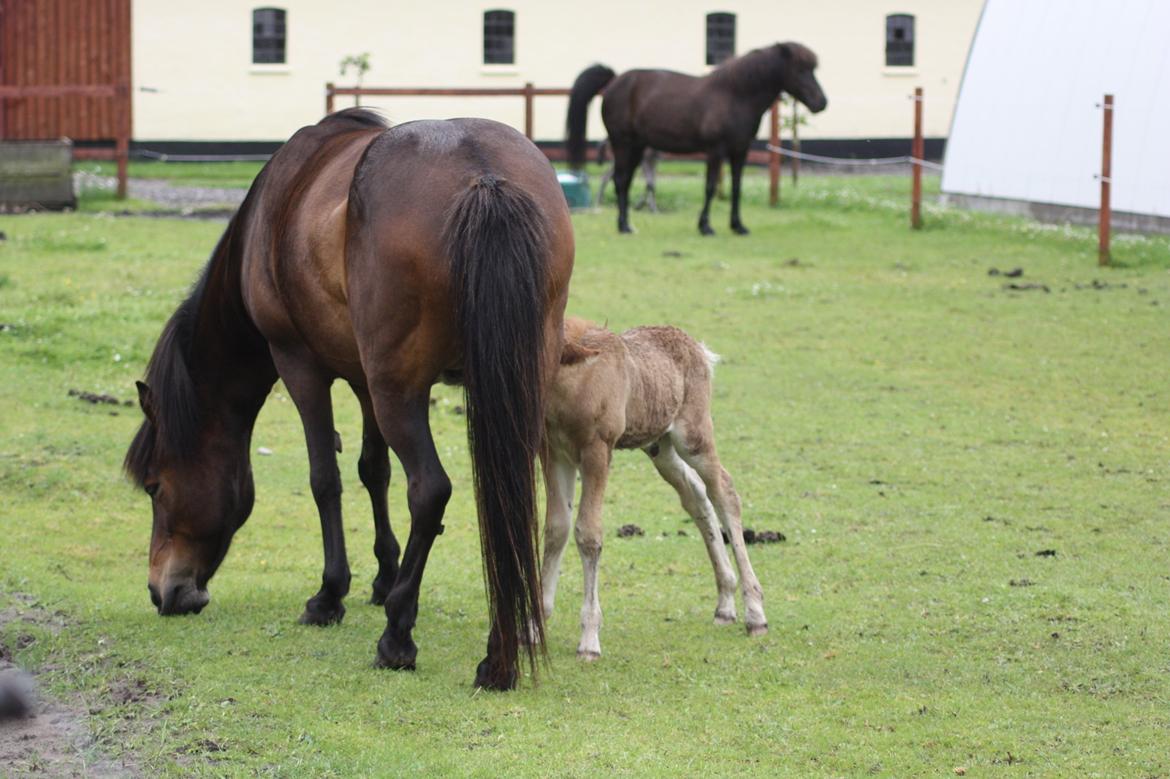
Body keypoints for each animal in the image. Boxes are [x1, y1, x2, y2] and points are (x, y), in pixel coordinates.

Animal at [124, 109, 575, 687]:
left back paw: (398, 636)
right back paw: (500, 652)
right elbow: (372, 470)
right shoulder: (363, 379)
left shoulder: (299, 364)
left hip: (398, 391)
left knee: (430, 491)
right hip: (503, 384)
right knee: (505, 495)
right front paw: (384, 575)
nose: (163, 590)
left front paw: (330, 595)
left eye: (155, 487)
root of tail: (483, 175)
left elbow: (326, 479)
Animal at [540, 315, 767, 655]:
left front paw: (589, 640)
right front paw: (533, 626)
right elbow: (556, 529)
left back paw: (755, 614)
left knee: (724, 491)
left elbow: (588, 533)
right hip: (660, 446)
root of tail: (698, 348)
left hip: (693, 437)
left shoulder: (597, 450)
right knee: (695, 495)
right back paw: (725, 605)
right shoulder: (553, 452)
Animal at [563, 42, 823, 235]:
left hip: (637, 146)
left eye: (812, 69)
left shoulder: (740, 150)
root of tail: (615, 81)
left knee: (624, 181)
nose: (821, 102)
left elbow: (736, 187)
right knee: (619, 180)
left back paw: (626, 223)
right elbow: (709, 187)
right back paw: (624, 225)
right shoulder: (716, 150)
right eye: (801, 70)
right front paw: (705, 226)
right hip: (623, 144)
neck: (734, 95)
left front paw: (738, 226)